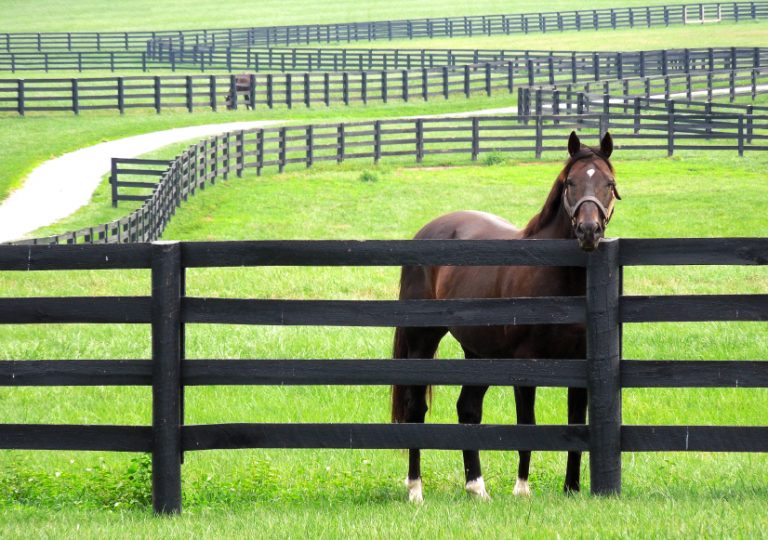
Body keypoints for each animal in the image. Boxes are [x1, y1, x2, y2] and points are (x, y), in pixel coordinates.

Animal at [391, 131, 620, 503]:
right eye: (570, 183)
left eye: (609, 184)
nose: (589, 230)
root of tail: (428, 230)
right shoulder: (526, 363)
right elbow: (526, 425)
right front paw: (522, 489)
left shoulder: (577, 363)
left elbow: (575, 423)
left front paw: (571, 489)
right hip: (422, 342)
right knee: (416, 409)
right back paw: (415, 489)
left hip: (479, 352)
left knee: (468, 409)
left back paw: (476, 487)